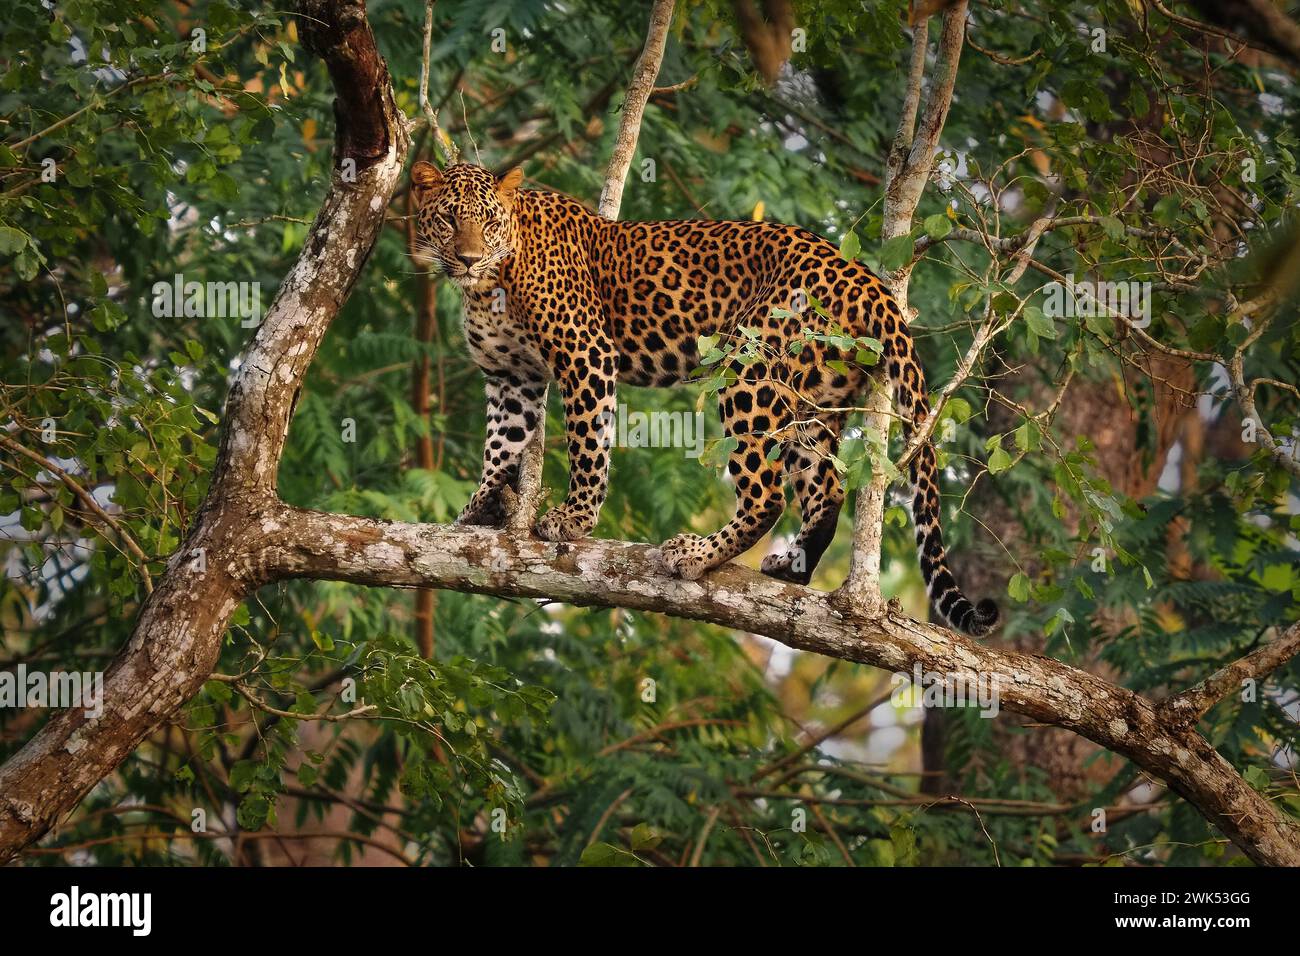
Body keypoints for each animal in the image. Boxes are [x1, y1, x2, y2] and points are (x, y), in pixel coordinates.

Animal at [410, 160, 999, 637]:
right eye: (450, 220)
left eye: (488, 220)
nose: (468, 258)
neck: (489, 285)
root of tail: (864, 279)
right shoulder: (511, 377)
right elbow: (501, 444)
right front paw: (478, 507)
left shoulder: (585, 352)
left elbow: (588, 445)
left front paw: (574, 519)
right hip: (814, 396)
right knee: (826, 487)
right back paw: (794, 565)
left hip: (750, 371)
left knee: (767, 495)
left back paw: (695, 554)